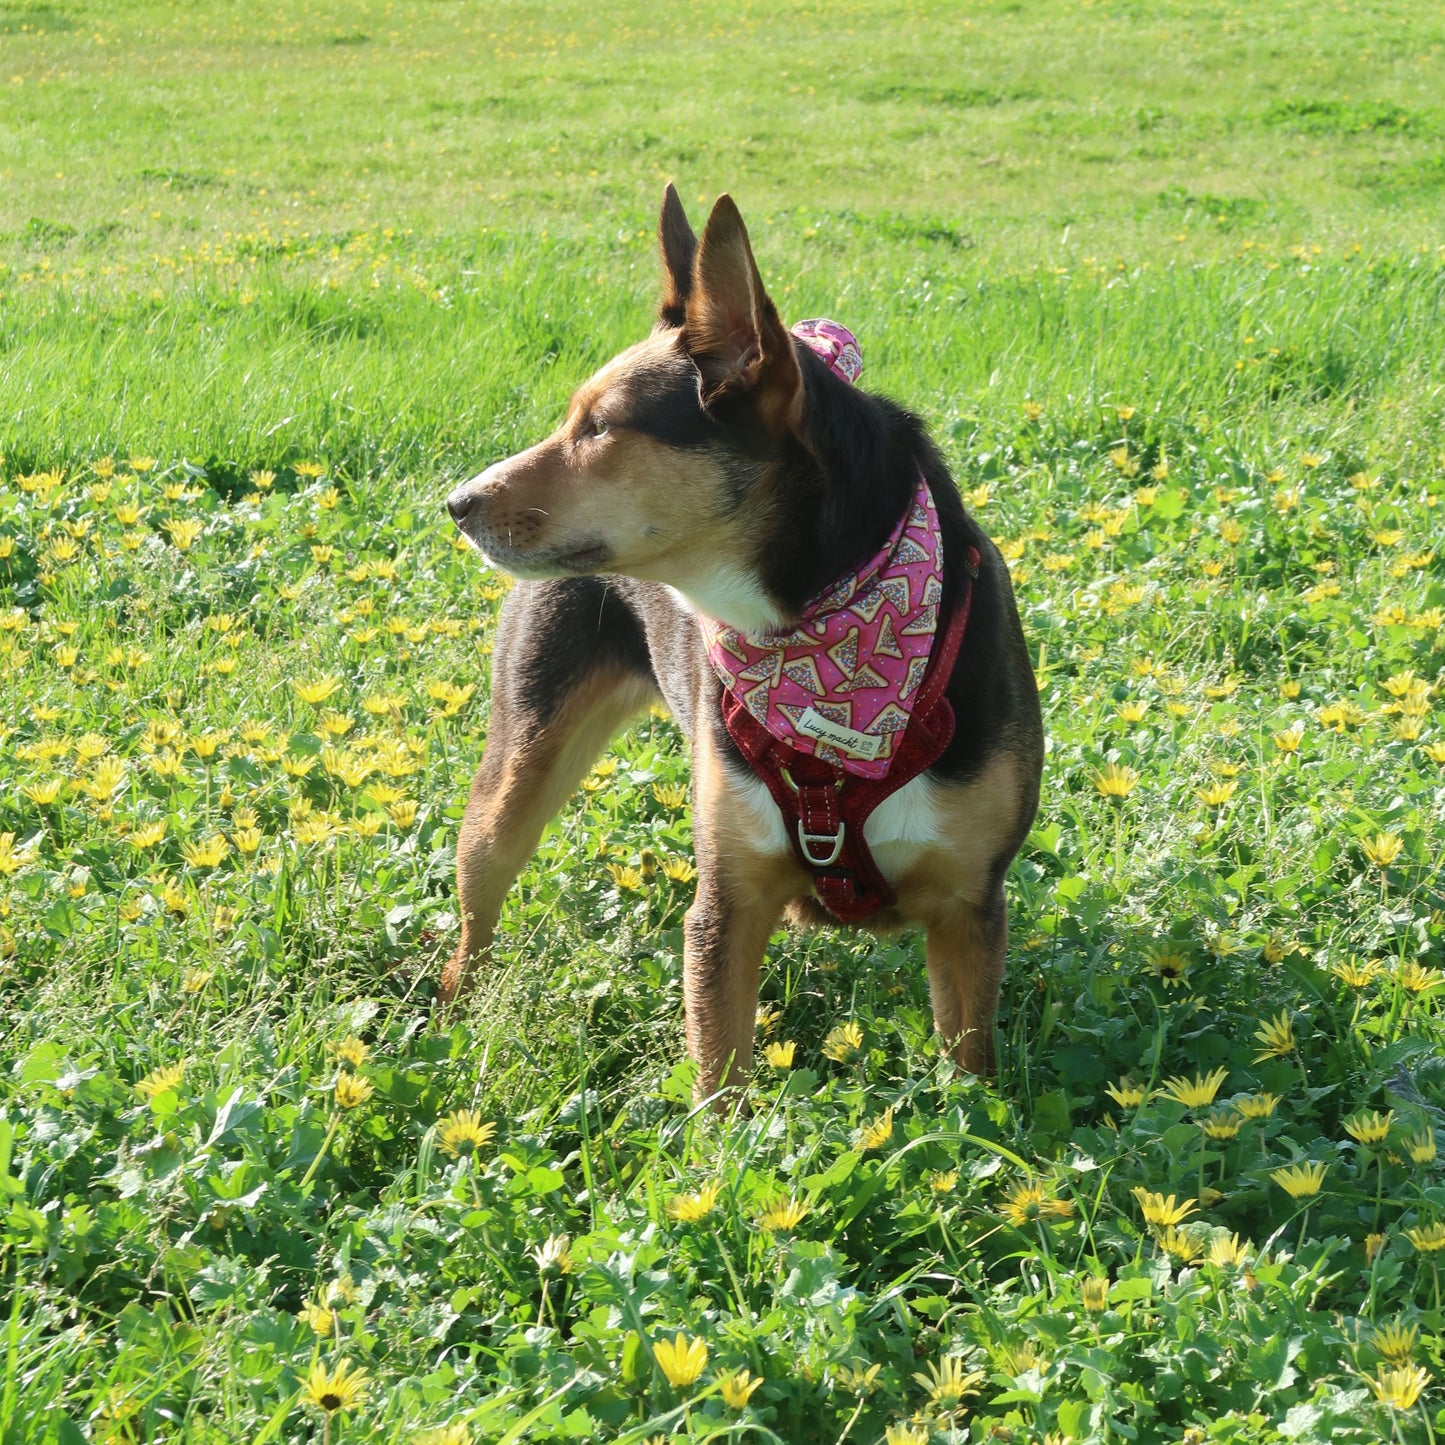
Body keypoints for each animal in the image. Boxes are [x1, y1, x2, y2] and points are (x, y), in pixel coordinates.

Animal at [439, 186, 1040, 1098]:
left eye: (599, 428)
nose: (456, 502)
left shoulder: (969, 909)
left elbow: (968, 1073)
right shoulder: (724, 905)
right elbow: (720, 1085)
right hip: (516, 768)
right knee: (477, 907)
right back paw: (448, 1015)